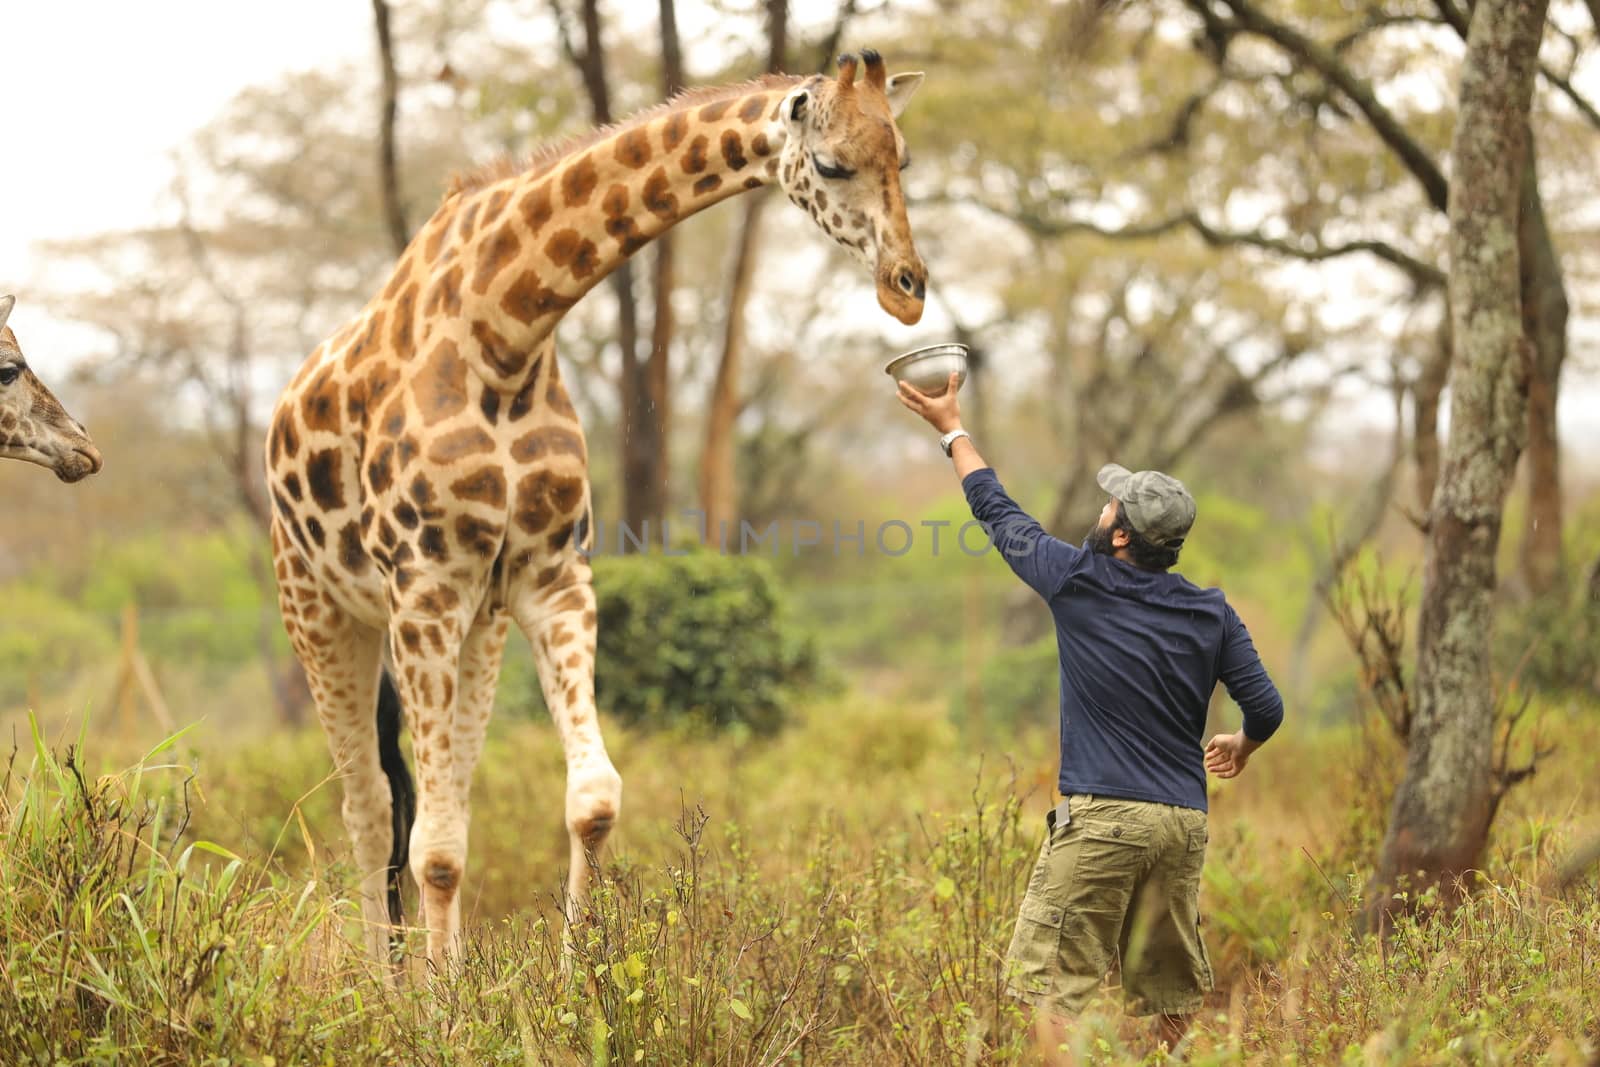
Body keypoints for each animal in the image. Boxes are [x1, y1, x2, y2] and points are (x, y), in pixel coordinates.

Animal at [268, 49, 934, 966]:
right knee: (370, 805)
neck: (506, 333)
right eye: (833, 164)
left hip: (476, 625)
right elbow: (428, 842)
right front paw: (437, 999)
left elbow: (590, 798)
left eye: (902, 156)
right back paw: (385, 979)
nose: (908, 289)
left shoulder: (548, 577)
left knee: (443, 795)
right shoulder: (425, 585)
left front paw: (569, 976)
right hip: (323, 608)